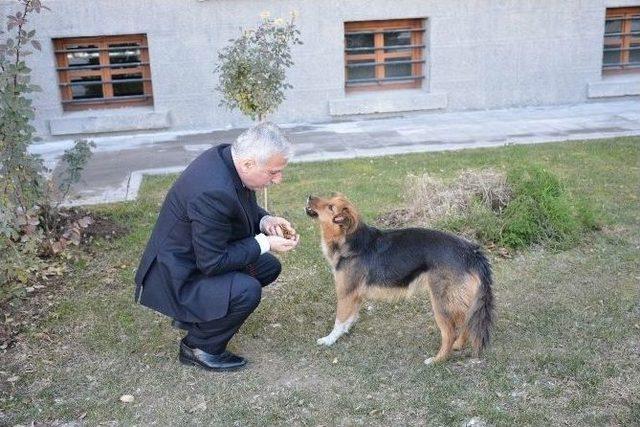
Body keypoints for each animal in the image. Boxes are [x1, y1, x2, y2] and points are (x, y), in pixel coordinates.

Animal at [304, 194, 496, 364]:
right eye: (329, 199)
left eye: (330, 207)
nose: (309, 196)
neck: (349, 239)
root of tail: (471, 251)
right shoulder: (355, 295)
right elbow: (349, 317)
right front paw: (345, 330)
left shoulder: (346, 293)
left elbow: (339, 320)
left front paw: (329, 339)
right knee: (466, 321)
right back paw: (458, 345)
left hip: (441, 302)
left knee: (450, 333)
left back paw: (437, 360)